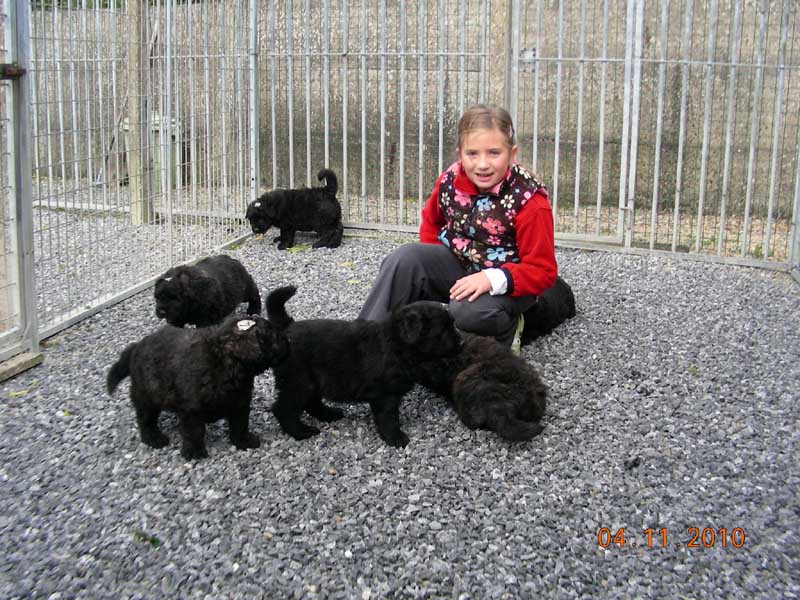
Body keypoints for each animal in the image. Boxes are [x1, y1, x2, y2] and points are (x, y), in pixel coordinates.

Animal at [106, 315, 289, 460]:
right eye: (274, 335)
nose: (288, 340)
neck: (225, 363)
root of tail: (136, 347)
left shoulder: (240, 403)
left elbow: (240, 424)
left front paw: (243, 441)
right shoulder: (191, 410)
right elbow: (194, 431)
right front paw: (194, 452)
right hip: (146, 395)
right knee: (145, 419)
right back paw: (154, 438)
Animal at [266, 286, 463, 447]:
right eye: (442, 330)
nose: (461, 342)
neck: (397, 344)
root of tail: (286, 327)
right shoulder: (385, 395)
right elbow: (388, 417)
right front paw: (395, 438)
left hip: (311, 380)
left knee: (311, 402)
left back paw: (329, 414)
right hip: (299, 381)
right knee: (283, 409)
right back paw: (301, 431)